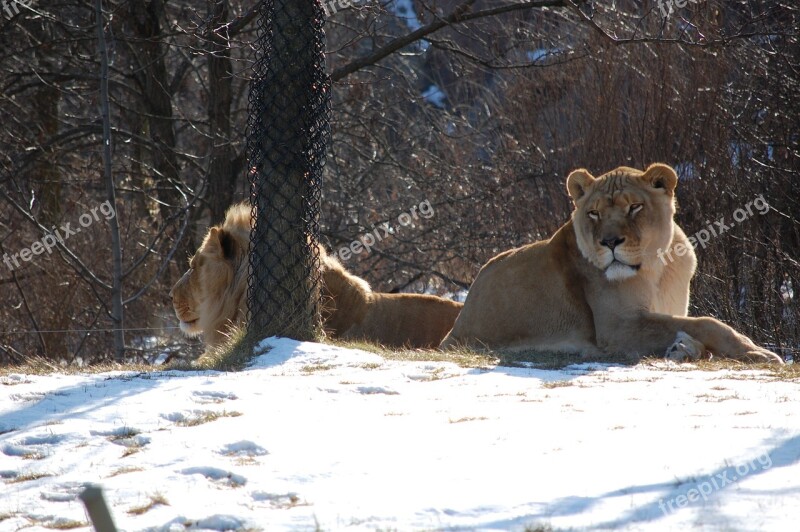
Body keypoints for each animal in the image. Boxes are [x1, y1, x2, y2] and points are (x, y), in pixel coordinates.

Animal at [438, 164, 780, 364]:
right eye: (594, 213)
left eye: (634, 207)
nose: (610, 242)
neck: (658, 267)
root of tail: (454, 328)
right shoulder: (618, 327)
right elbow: (707, 322)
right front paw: (757, 351)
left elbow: (690, 328)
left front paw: (682, 349)